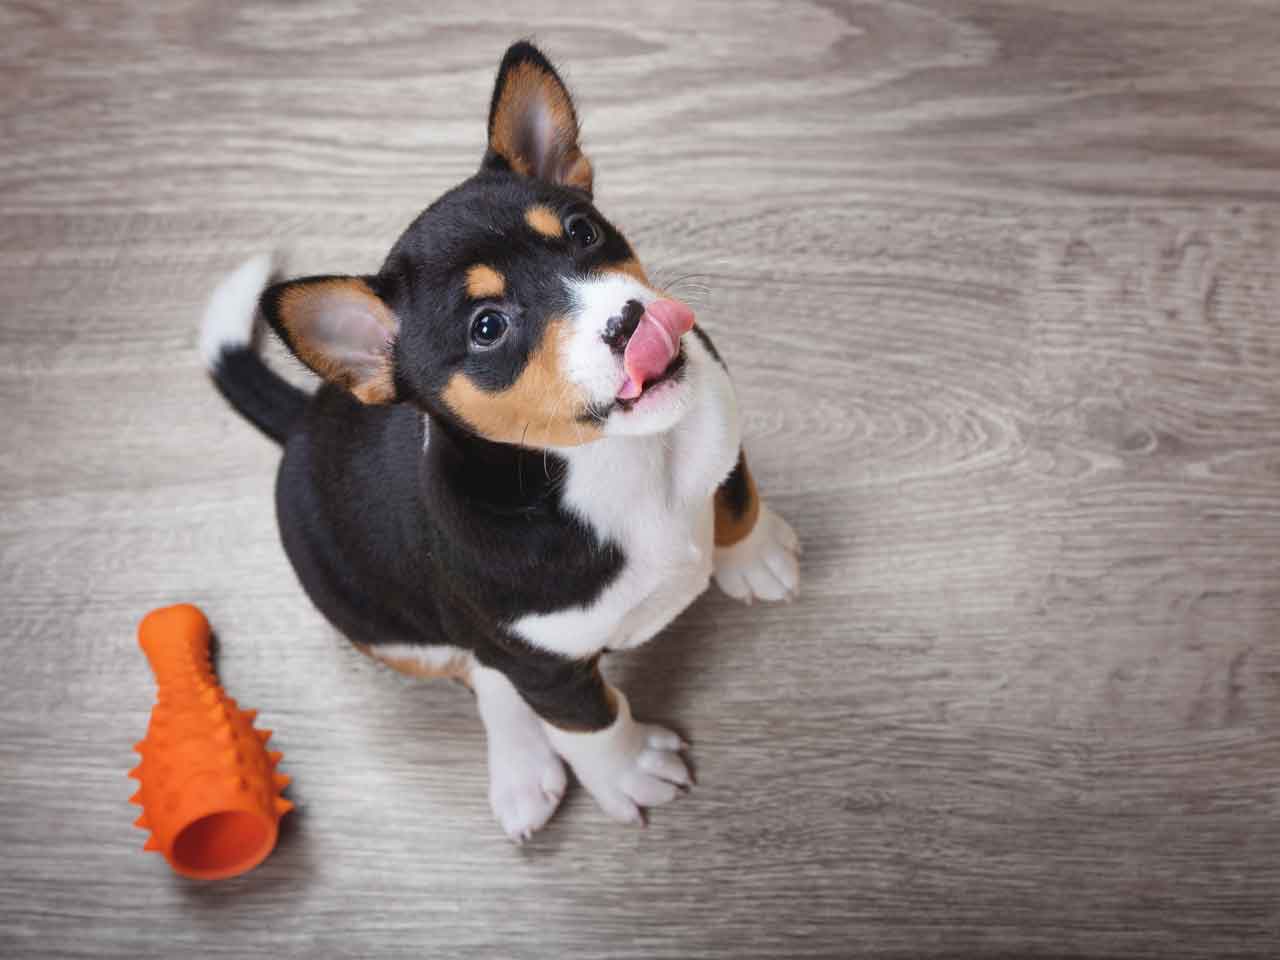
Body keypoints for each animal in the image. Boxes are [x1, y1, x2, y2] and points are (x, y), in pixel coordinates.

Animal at [199, 43, 798, 839]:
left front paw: (756, 555)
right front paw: (630, 772)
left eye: (581, 233)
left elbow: (733, 493)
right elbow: (590, 720)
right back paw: (522, 770)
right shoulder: (544, 666)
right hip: (390, 632)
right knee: (481, 673)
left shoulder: (715, 414)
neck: (614, 467)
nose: (632, 322)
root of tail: (299, 421)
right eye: (488, 327)